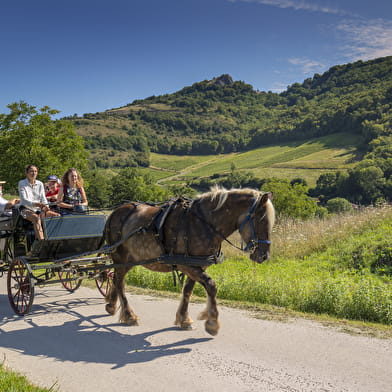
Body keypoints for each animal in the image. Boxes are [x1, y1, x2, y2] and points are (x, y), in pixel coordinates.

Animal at [104, 187, 276, 336]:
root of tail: (115, 212)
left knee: (116, 278)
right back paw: (129, 315)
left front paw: (184, 319)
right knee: (119, 281)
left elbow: (188, 290)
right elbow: (211, 286)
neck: (204, 223)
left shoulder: (197, 265)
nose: (264, 256)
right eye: (261, 220)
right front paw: (212, 323)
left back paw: (111, 305)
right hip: (120, 256)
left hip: (130, 259)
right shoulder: (186, 264)